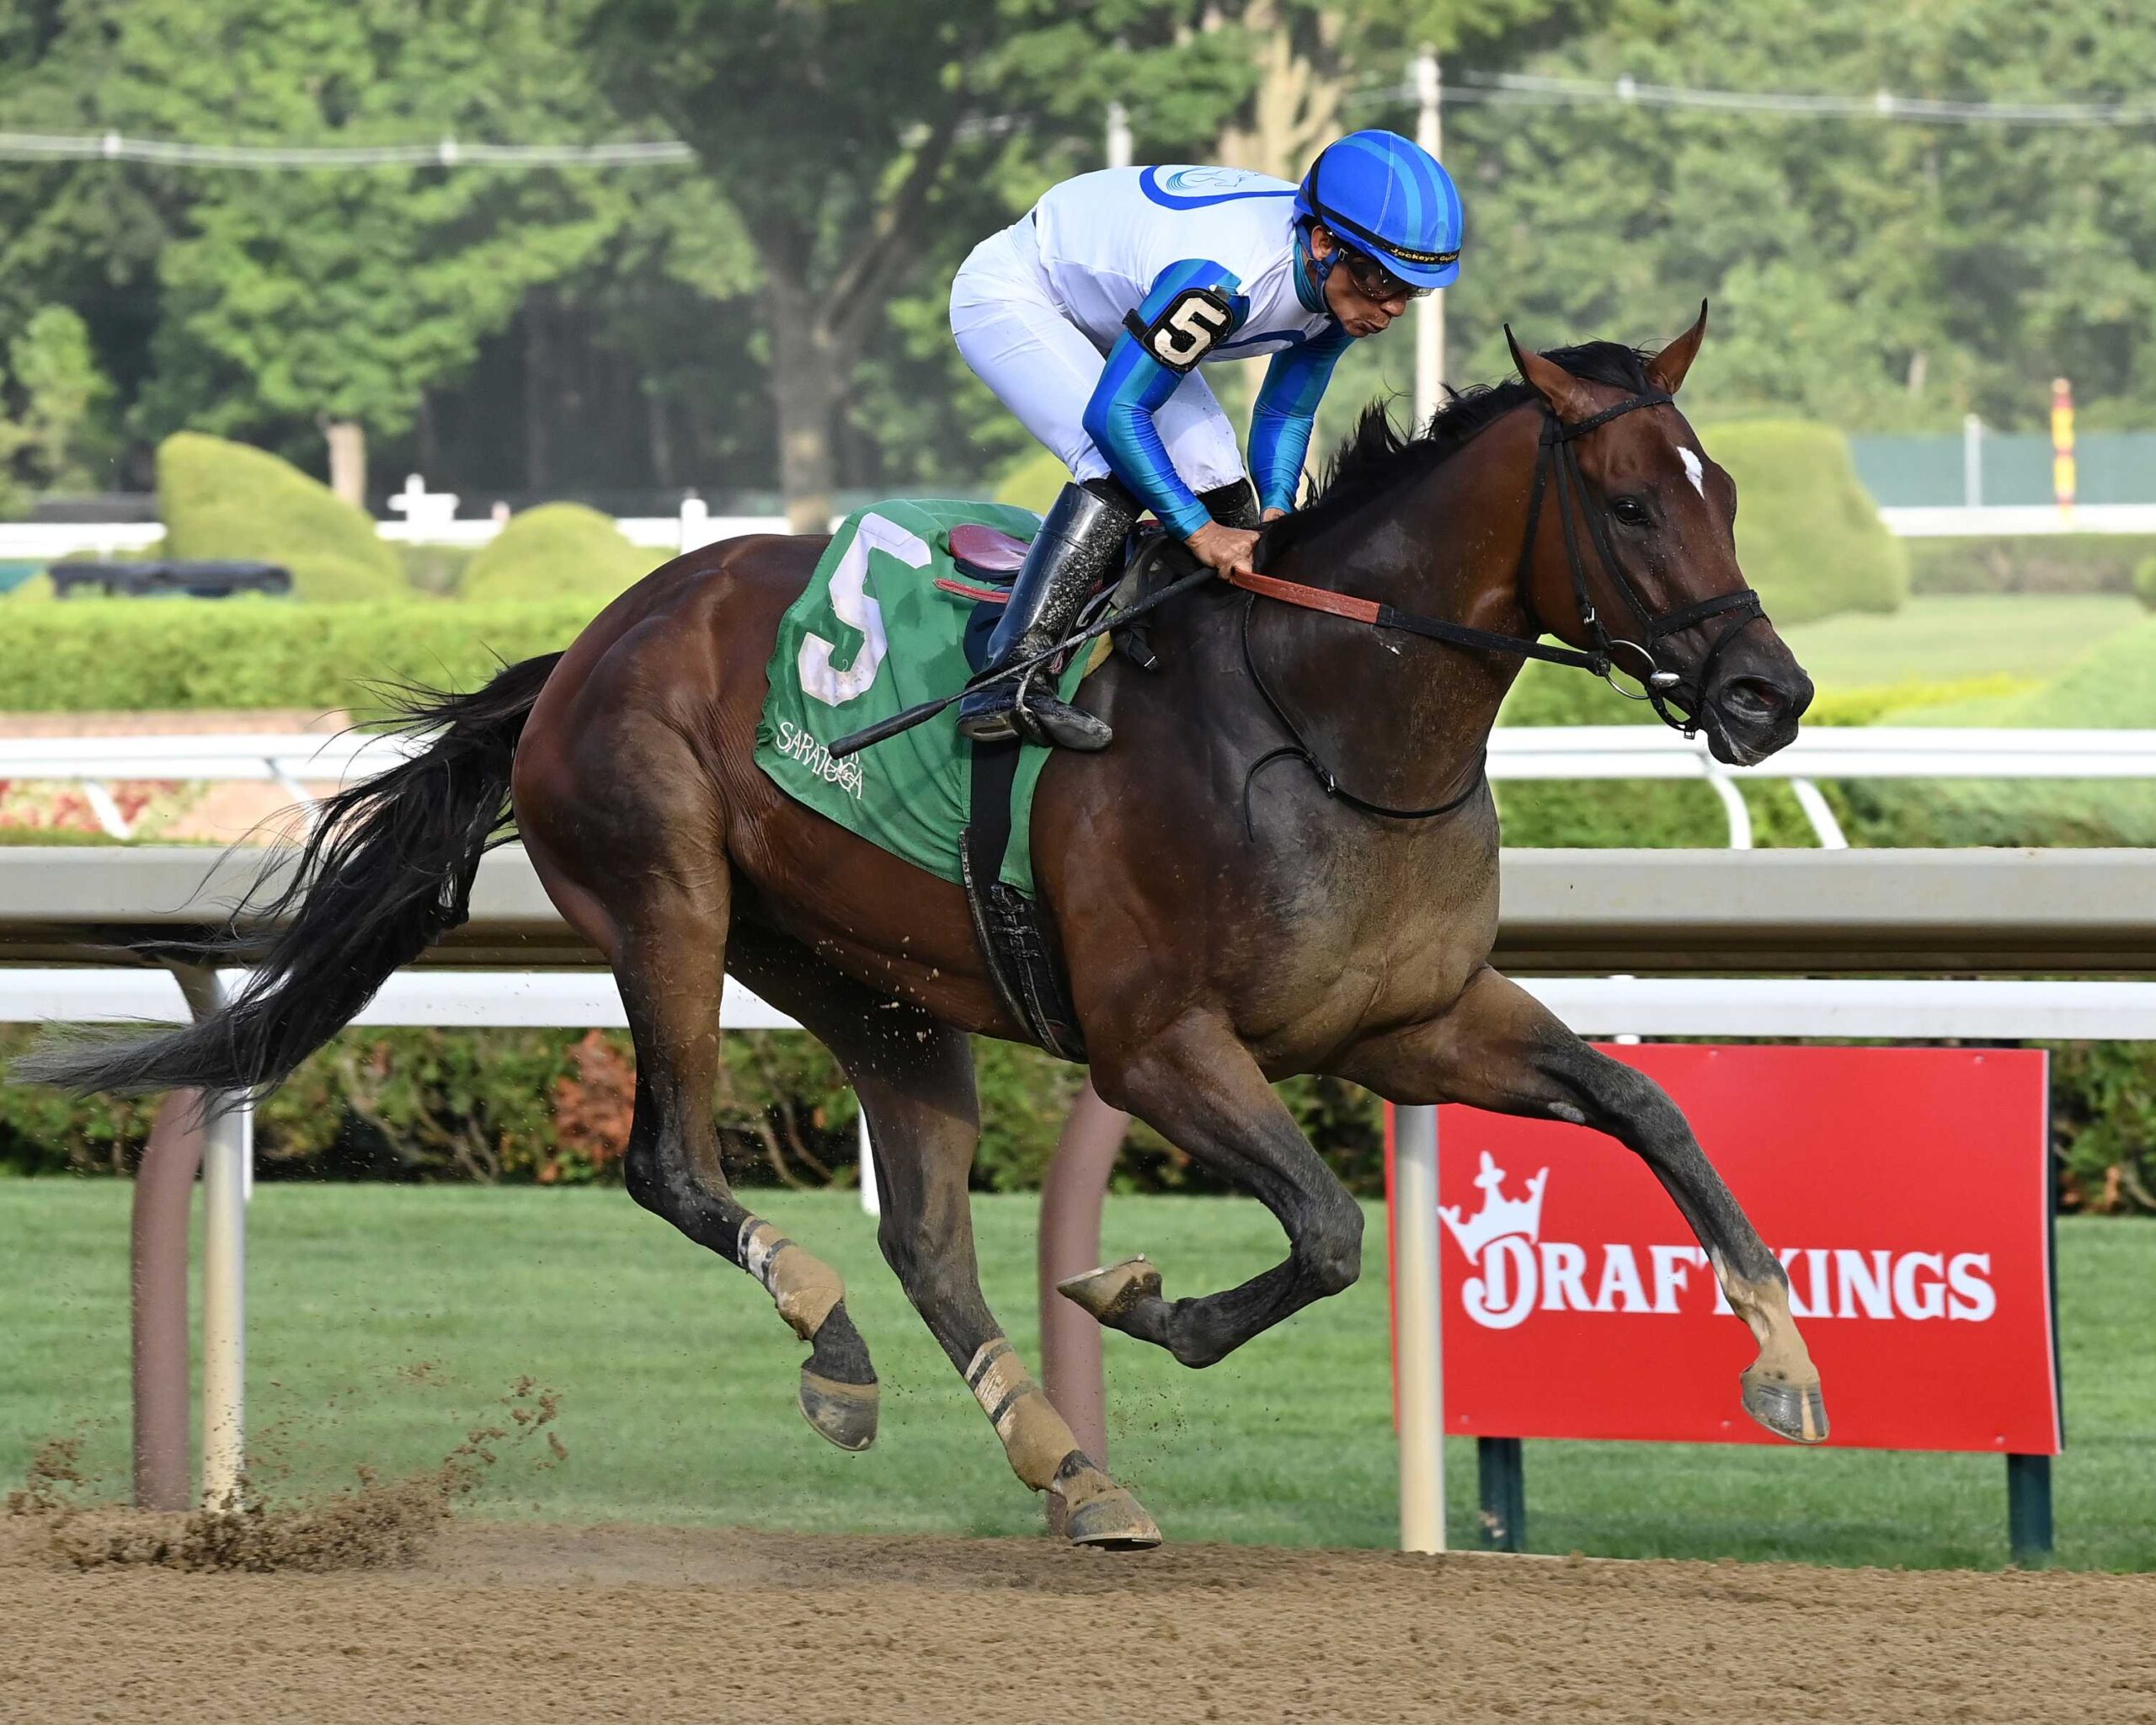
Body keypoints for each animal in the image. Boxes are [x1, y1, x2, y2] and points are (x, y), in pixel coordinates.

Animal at [23, 308, 1827, 1549]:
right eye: (1629, 502)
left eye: (1732, 487)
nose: (1770, 694)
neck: (1326, 721)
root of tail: (588, 641)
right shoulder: (1161, 1046)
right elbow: (1324, 1226)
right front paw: (1140, 1298)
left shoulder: (1414, 1019)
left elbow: (1646, 1102)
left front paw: (1786, 1361)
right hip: (671, 901)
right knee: (676, 1163)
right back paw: (841, 1351)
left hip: (878, 984)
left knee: (929, 1236)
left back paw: (1065, 1460)